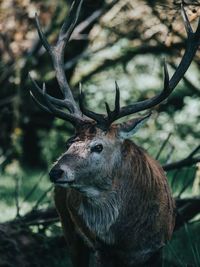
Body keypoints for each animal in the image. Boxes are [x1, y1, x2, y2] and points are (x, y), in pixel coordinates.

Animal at [28, 0, 200, 267]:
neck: (129, 240)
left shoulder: (160, 246)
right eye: (69, 142)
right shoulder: (101, 250)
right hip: (68, 227)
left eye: (98, 146)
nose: (56, 171)